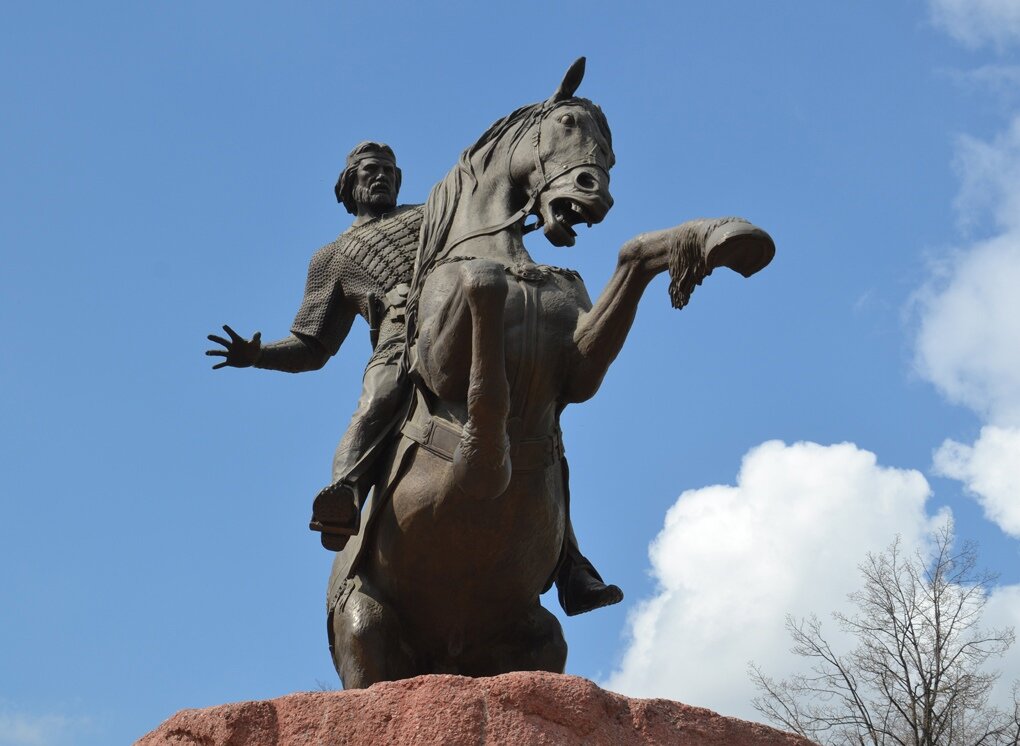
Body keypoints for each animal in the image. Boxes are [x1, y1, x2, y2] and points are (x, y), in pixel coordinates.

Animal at [326, 58, 771, 689]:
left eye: (612, 150)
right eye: (565, 123)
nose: (595, 194)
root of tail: (449, 657)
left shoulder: (580, 367)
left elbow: (634, 254)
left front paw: (717, 239)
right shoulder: (440, 372)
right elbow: (482, 294)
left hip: (541, 641)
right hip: (366, 630)